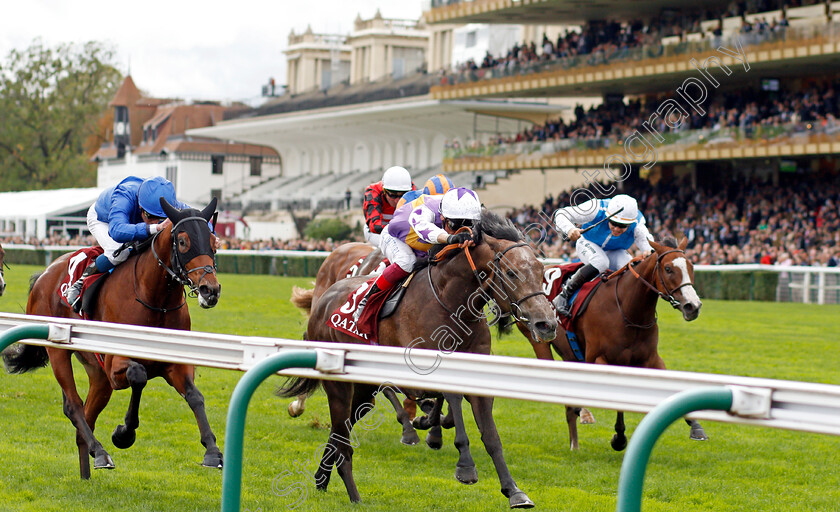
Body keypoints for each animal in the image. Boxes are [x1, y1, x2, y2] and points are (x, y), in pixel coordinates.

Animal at [1, 197, 223, 480]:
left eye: (214, 241)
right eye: (183, 241)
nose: (210, 290)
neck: (155, 300)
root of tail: (44, 274)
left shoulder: (175, 364)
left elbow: (195, 396)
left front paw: (213, 451)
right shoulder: (116, 365)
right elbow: (139, 376)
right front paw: (123, 434)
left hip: (98, 374)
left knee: (87, 414)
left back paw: (89, 466)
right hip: (59, 350)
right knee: (73, 405)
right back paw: (101, 452)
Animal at [280, 211, 556, 508]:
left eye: (541, 273)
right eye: (511, 272)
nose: (546, 324)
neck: (451, 304)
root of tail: (323, 302)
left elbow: (491, 436)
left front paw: (514, 491)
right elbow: (449, 400)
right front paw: (463, 464)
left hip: (363, 389)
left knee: (339, 429)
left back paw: (322, 478)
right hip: (340, 385)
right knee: (342, 433)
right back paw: (353, 492)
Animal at [516, 235, 704, 448]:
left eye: (691, 266)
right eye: (668, 268)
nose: (693, 306)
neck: (628, 310)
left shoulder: (651, 359)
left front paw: (696, 426)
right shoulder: (599, 358)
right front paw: (619, 437)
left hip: (569, 351)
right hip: (539, 338)